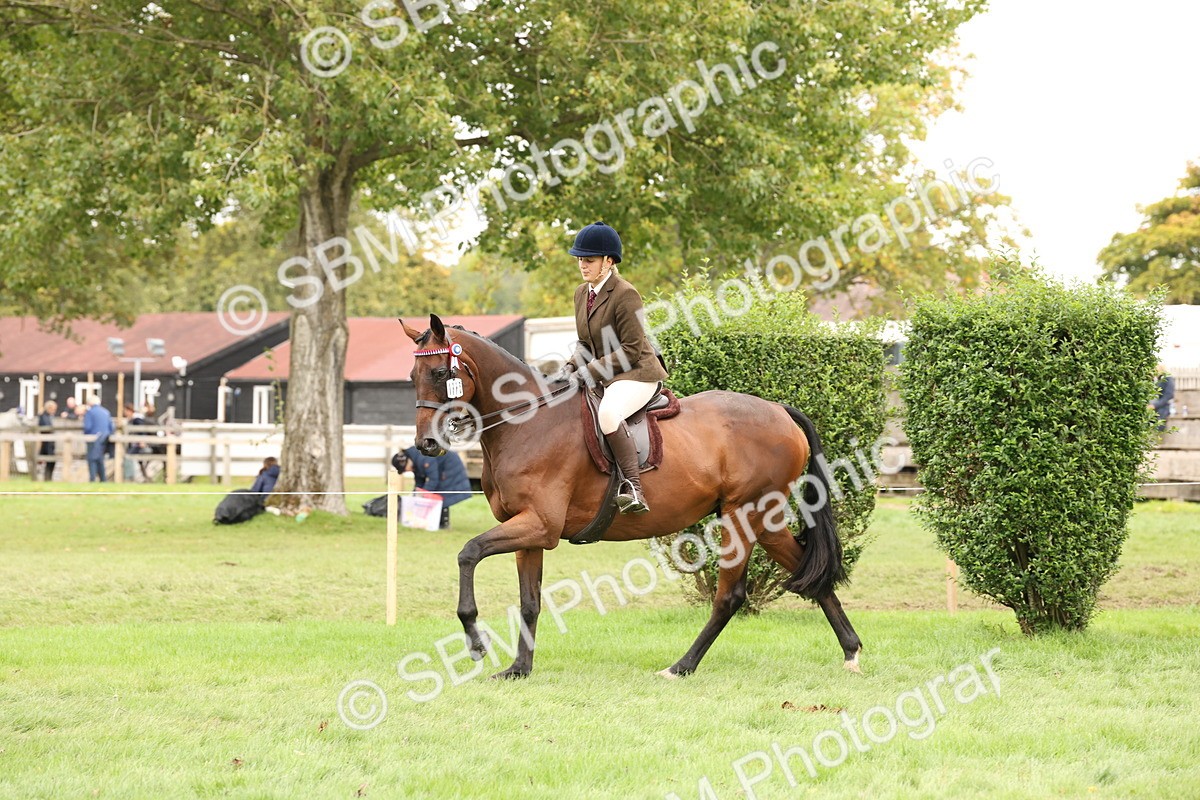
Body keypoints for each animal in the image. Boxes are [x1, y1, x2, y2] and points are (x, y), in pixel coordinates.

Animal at [401, 314, 862, 679]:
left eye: (440, 374)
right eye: (411, 378)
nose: (426, 445)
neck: (527, 422)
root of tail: (780, 410)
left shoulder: (540, 526)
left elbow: (468, 552)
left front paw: (475, 641)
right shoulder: (528, 531)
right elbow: (529, 601)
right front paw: (518, 669)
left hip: (741, 516)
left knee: (730, 596)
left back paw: (681, 666)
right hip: (763, 520)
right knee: (810, 573)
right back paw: (852, 652)